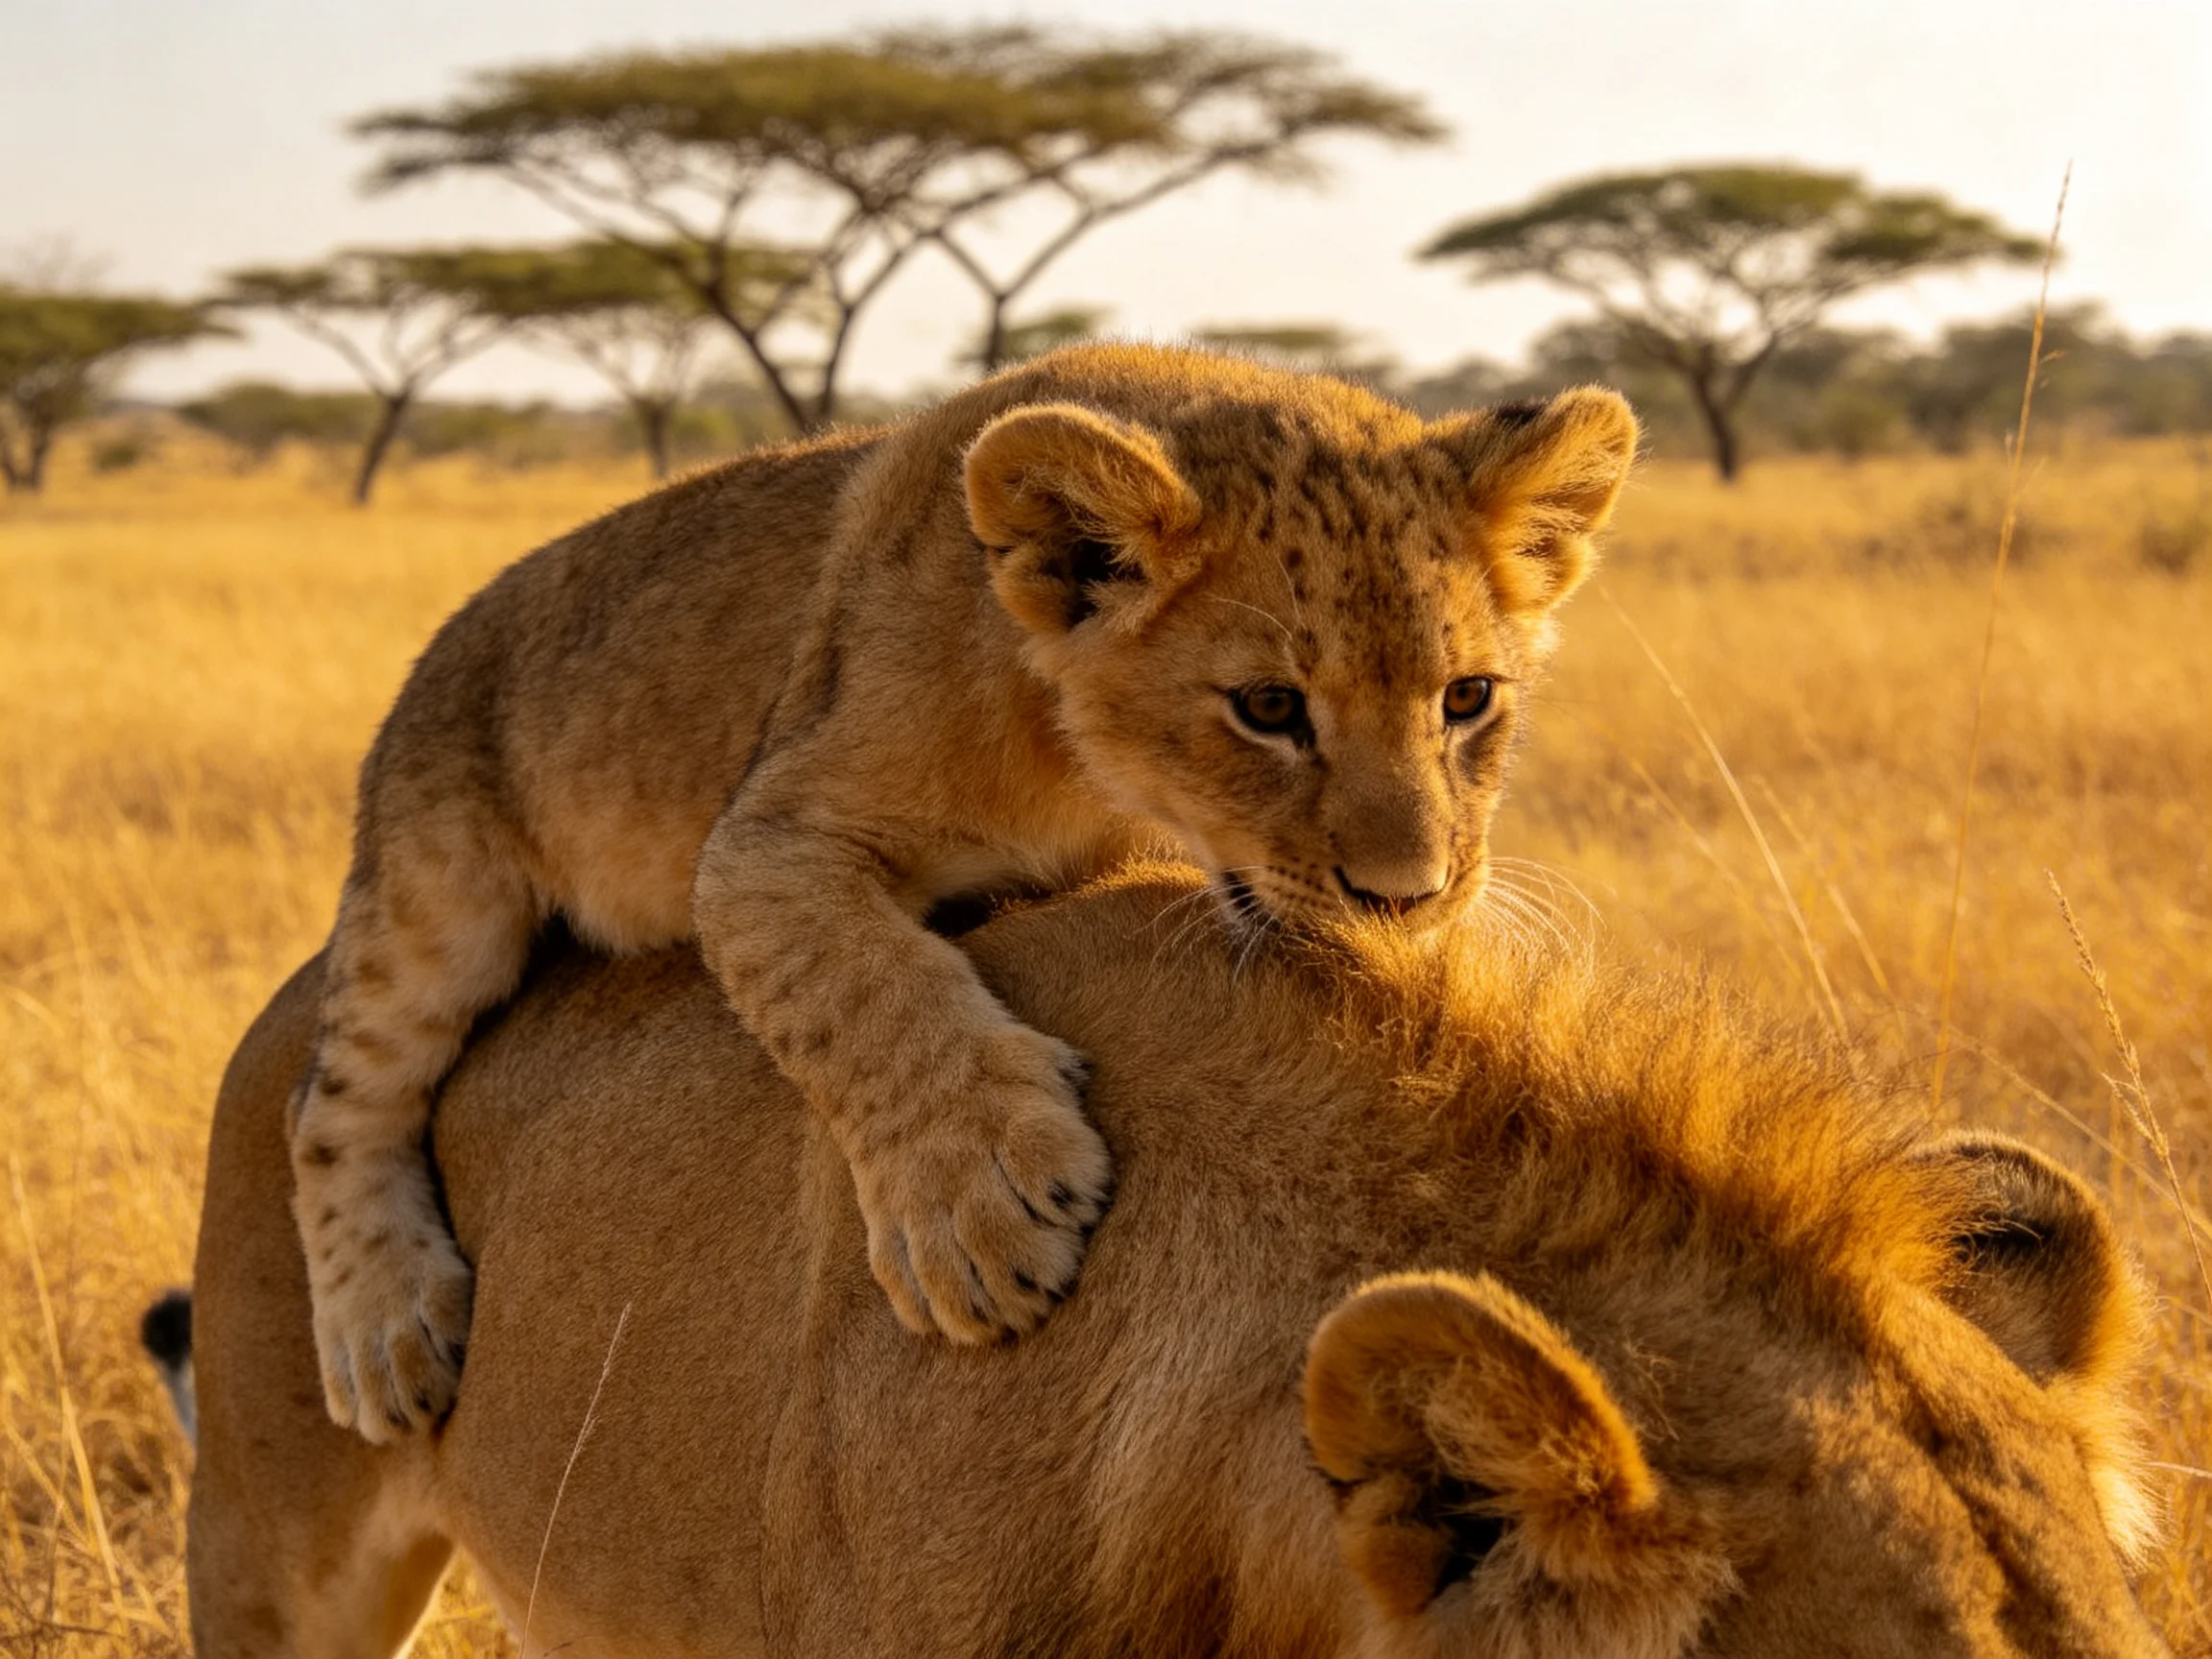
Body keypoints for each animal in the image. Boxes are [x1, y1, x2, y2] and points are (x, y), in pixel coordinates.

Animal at [291, 342, 1640, 1441]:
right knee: (333, 1100)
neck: (1080, 768)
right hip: (433, 886)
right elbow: (861, 988)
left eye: (1468, 699)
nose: (1408, 899)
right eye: (1268, 708)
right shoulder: (765, 836)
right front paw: (977, 1211)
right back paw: (382, 1336)